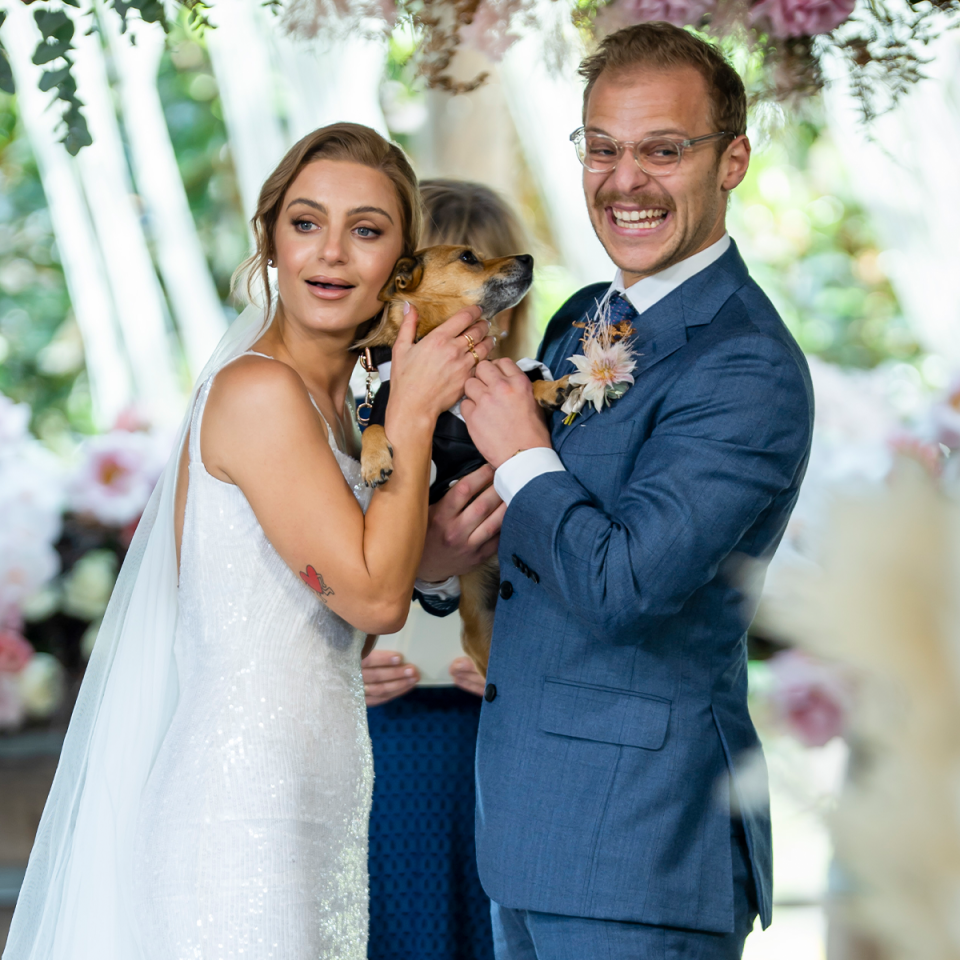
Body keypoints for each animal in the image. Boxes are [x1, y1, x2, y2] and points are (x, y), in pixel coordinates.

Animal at [358, 244, 568, 672]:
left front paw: (549, 387)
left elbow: (525, 378)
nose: (528, 258)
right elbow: (375, 425)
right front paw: (373, 460)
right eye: (469, 257)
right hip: (479, 631)